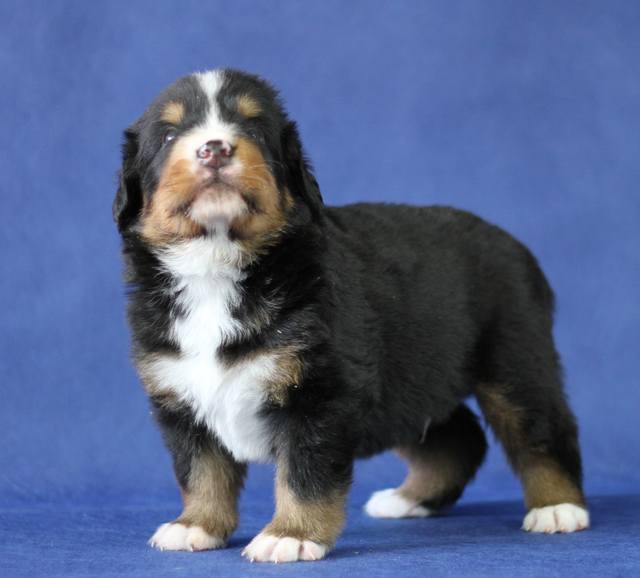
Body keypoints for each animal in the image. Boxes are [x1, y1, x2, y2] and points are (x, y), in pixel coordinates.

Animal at [113, 68, 589, 563]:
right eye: (169, 135)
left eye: (254, 129)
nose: (215, 148)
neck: (217, 267)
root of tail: (514, 244)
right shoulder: (180, 396)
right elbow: (201, 471)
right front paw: (196, 525)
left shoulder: (319, 394)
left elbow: (303, 474)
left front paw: (291, 535)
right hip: (413, 379)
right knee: (457, 437)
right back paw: (408, 499)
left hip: (515, 358)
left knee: (542, 432)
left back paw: (558, 508)